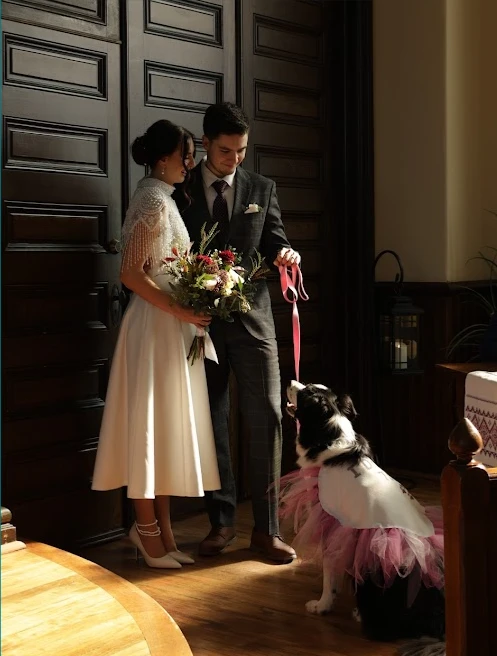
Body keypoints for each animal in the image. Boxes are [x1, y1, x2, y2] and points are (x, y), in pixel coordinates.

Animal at [282, 381, 445, 642]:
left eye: (306, 392)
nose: (289, 381)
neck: (328, 435)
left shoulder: (330, 521)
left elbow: (329, 573)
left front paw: (322, 605)